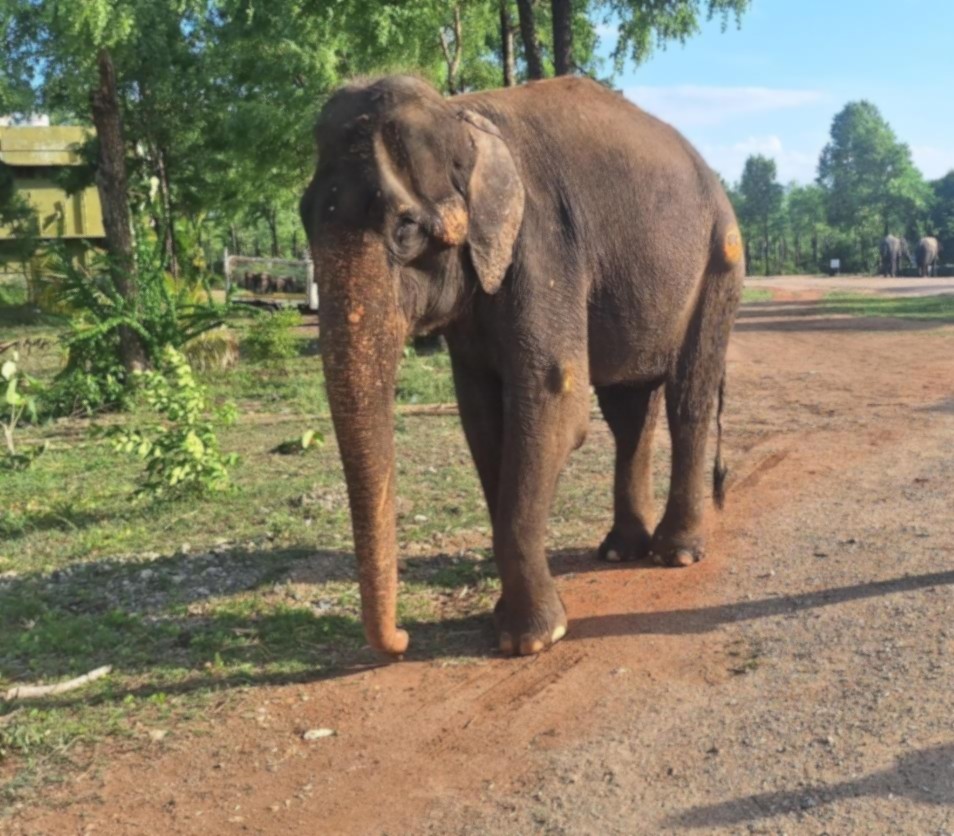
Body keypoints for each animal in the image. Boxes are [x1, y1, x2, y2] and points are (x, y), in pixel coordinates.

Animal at [300, 75, 745, 657]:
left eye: (406, 230)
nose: (403, 637)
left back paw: (677, 554)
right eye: (303, 219)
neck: (463, 116)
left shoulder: (543, 248)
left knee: (688, 397)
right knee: (629, 412)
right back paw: (621, 550)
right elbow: (482, 417)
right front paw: (506, 622)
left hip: (720, 263)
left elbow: (555, 403)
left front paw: (530, 640)